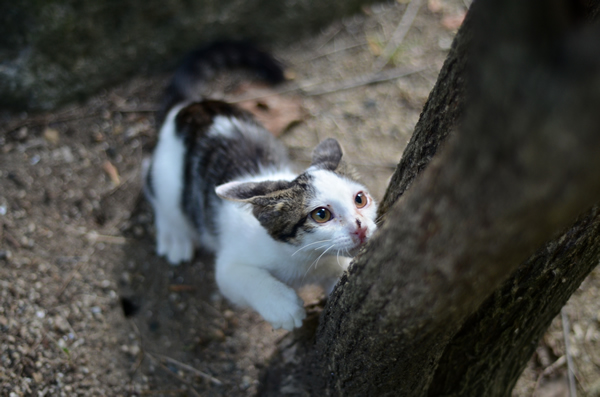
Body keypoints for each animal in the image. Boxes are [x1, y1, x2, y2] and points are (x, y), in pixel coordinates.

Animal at [145, 41, 378, 330]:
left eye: (360, 199)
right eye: (321, 214)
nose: (360, 227)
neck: (304, 259)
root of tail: (191, 106)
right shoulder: (230, 266)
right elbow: (242, 277)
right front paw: (282, 306)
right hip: (167, 175)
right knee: (151, 179)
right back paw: (174, 235)